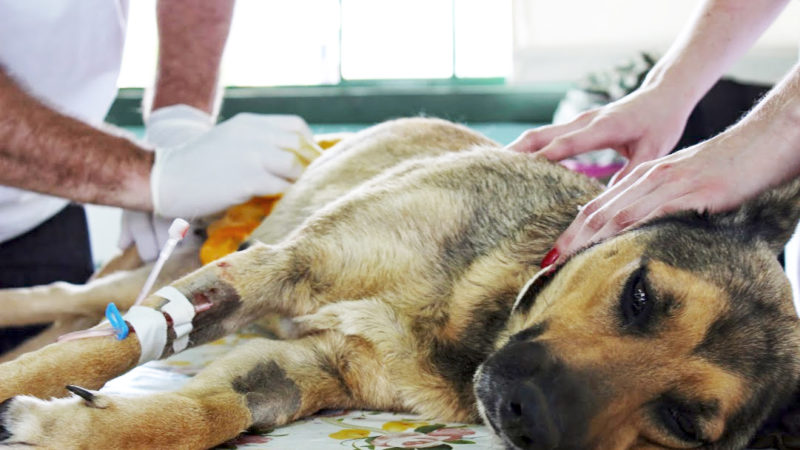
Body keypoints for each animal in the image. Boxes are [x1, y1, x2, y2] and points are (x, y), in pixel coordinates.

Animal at [1, 118, 800, 448]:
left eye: (683, 424)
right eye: (640, 296)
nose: (526, 417)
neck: (473, 321)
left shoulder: (302, 369)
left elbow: (210, 414)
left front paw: (73, 425)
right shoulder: (273, 268)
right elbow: (105, 349)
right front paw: (28, 390)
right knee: (72, 305)